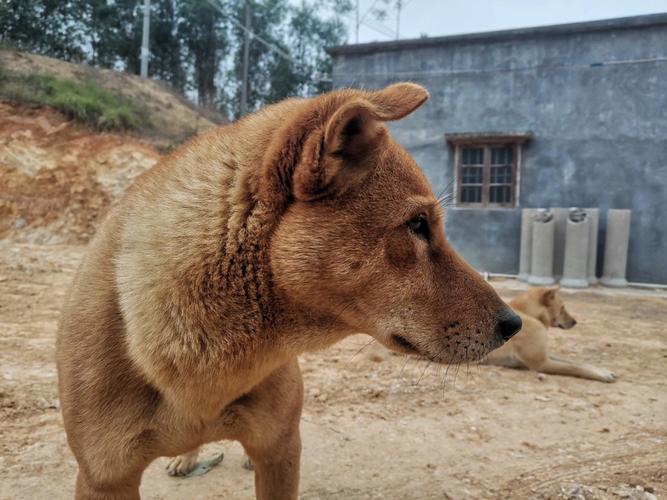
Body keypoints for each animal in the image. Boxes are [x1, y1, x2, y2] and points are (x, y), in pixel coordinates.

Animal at [482, 286, 620, 382]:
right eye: (562, 307)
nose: (575, 321)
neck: (528, 313)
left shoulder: (545, 355)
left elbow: (575, 362)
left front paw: (602, 370)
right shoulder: (541, 363)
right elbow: (573, 367)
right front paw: (602, 375)